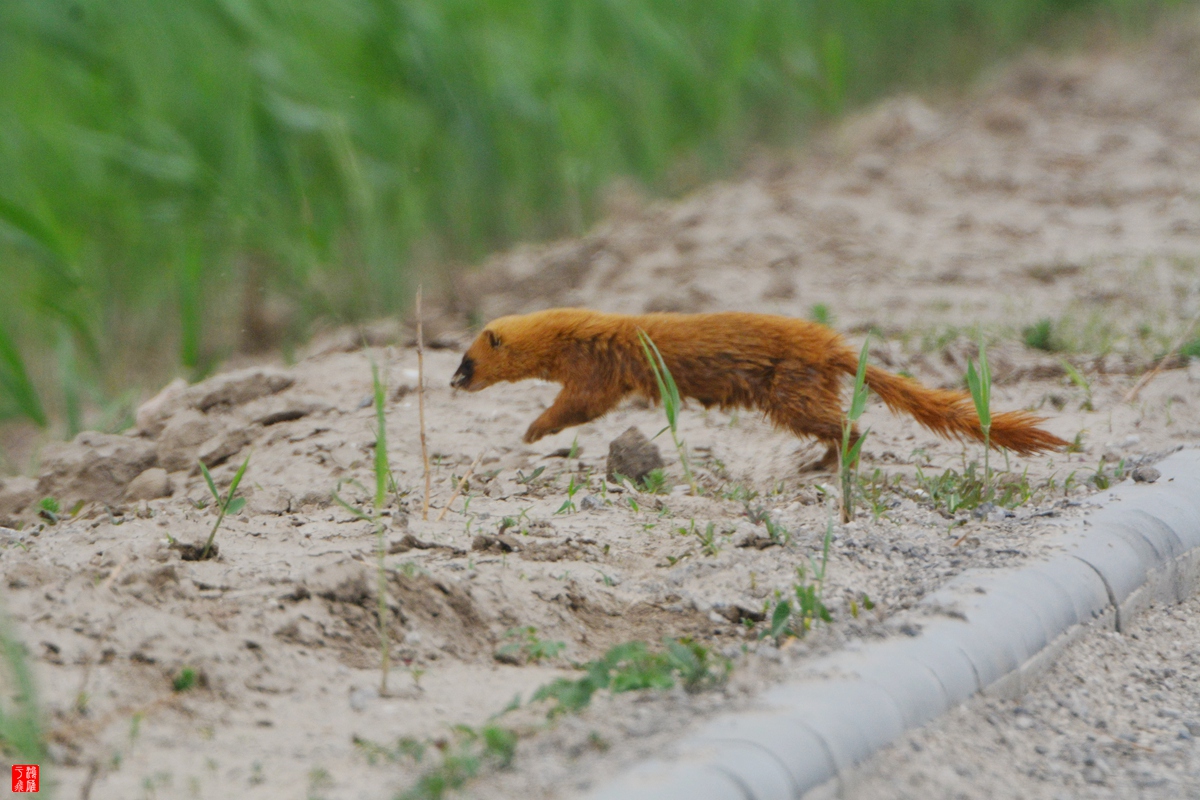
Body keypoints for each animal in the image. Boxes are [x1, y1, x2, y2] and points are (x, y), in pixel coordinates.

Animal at [451, 309, 1070, 470]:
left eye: (467, 361)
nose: (451, 381)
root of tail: (831, 344)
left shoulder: (596, 371)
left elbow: (579, 405)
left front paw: (532, 431)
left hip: (789, 388)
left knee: (847, 425)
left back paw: (826, 463)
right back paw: (818, 462)